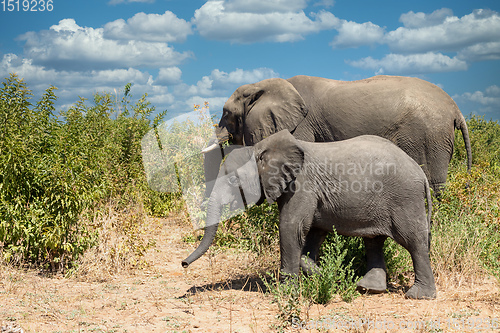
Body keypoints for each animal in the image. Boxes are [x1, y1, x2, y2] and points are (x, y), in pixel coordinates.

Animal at [182, 129, 436, 298]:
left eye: (233, 180)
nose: (183, 264)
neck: (260, 148)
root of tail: (420, 172)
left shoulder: (302, 185)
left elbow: (290, 227)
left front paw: (287, 291)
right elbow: (312, 231)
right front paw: (326, 274)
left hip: (404, 197)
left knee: (413, 240)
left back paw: (418, 295)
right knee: (374, 240)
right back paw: (367, 288)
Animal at [203, 75, 472, 195]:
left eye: (226, 114)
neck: (265, 84)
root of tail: (455, 108)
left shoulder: (301, 126)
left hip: (427, 135)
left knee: (432, 181)